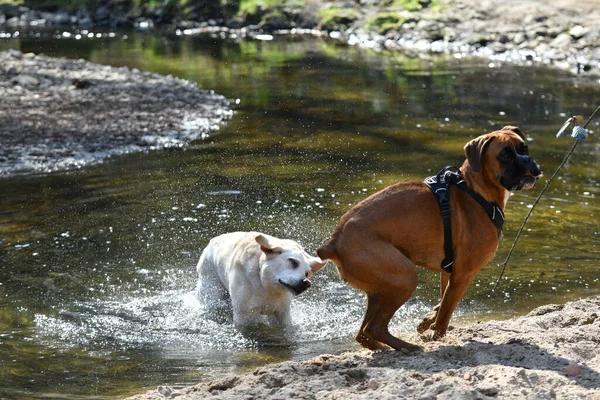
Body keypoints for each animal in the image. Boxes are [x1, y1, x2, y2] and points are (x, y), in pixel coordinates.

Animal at [197, 231, 326, 328]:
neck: (266, 287)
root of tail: (213, 240)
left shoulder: (282, 312)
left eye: (307, 273)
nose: (306, 283)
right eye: (293, 261)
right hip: (211, 290)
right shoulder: (244, 316)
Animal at [318, 126, 544, 350]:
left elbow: (442, 302)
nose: (528, 161)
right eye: (505, 155)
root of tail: (334, 241)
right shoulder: (463, 274)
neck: (474, 190)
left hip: (380, 289)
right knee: (374, 327)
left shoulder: (449, 274)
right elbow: (445, 313)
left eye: (525, 148)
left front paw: (426, 321)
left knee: (363, 333)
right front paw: (438, 337)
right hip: (405, 277)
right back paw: (410, 347)